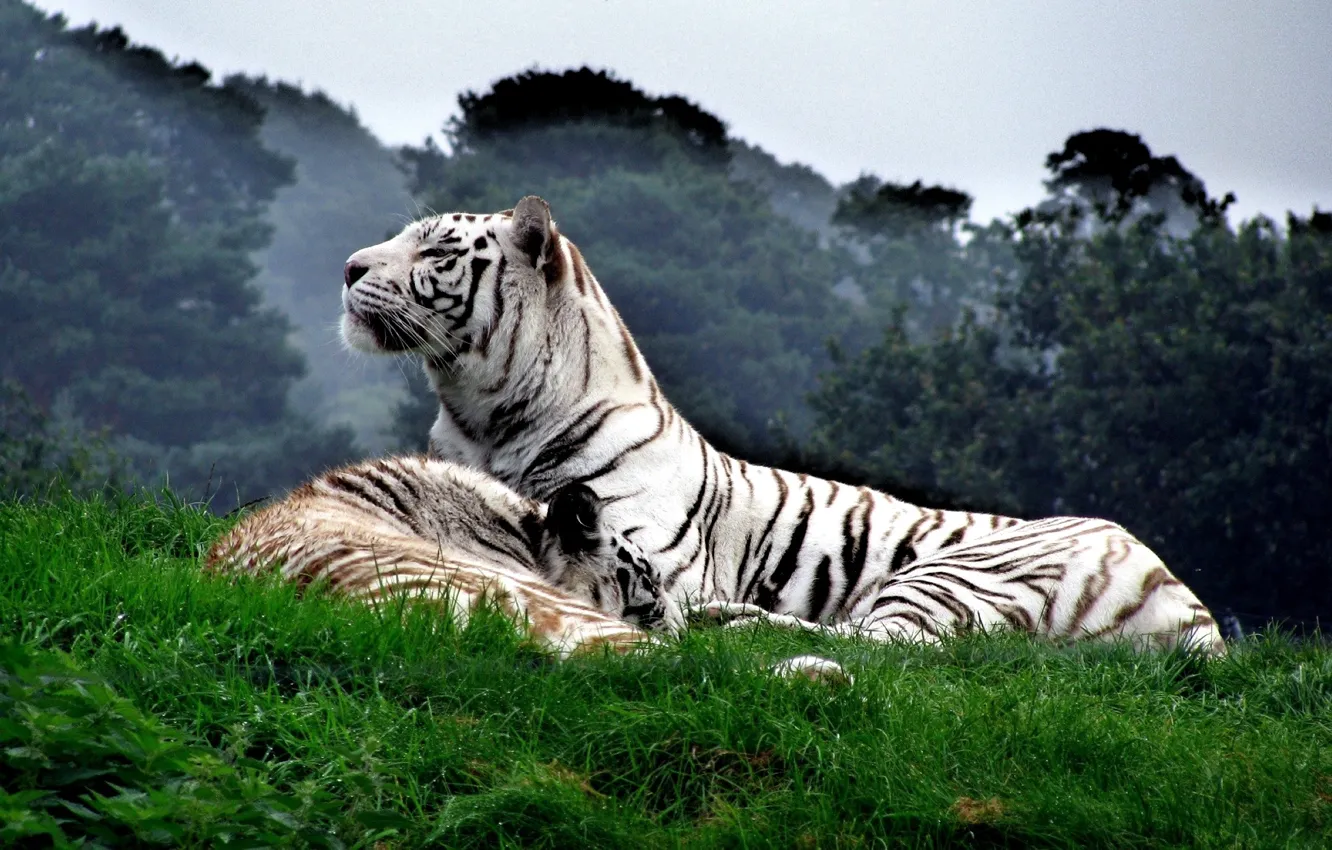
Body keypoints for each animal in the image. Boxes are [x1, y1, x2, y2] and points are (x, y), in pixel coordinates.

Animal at [338, 195, 1224, 655]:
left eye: (438, 251)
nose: (347, 267)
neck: (483, 415)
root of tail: (1195, 613)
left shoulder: (647, 550)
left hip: (962, 570)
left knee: (888, 643)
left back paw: (737, 622)